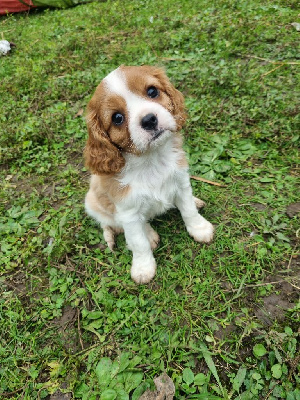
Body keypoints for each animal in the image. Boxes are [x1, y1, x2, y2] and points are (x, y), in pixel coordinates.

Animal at [84, 65, 213, 282]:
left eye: (152, 91)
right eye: (117, 118)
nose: (149, 120)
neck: (150, 160)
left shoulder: (181, 182)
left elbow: (188, 210)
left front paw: (200, 228)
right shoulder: (127, 210)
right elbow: (138, 242)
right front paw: (143, 267)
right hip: (92, 202)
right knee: (110, 224)